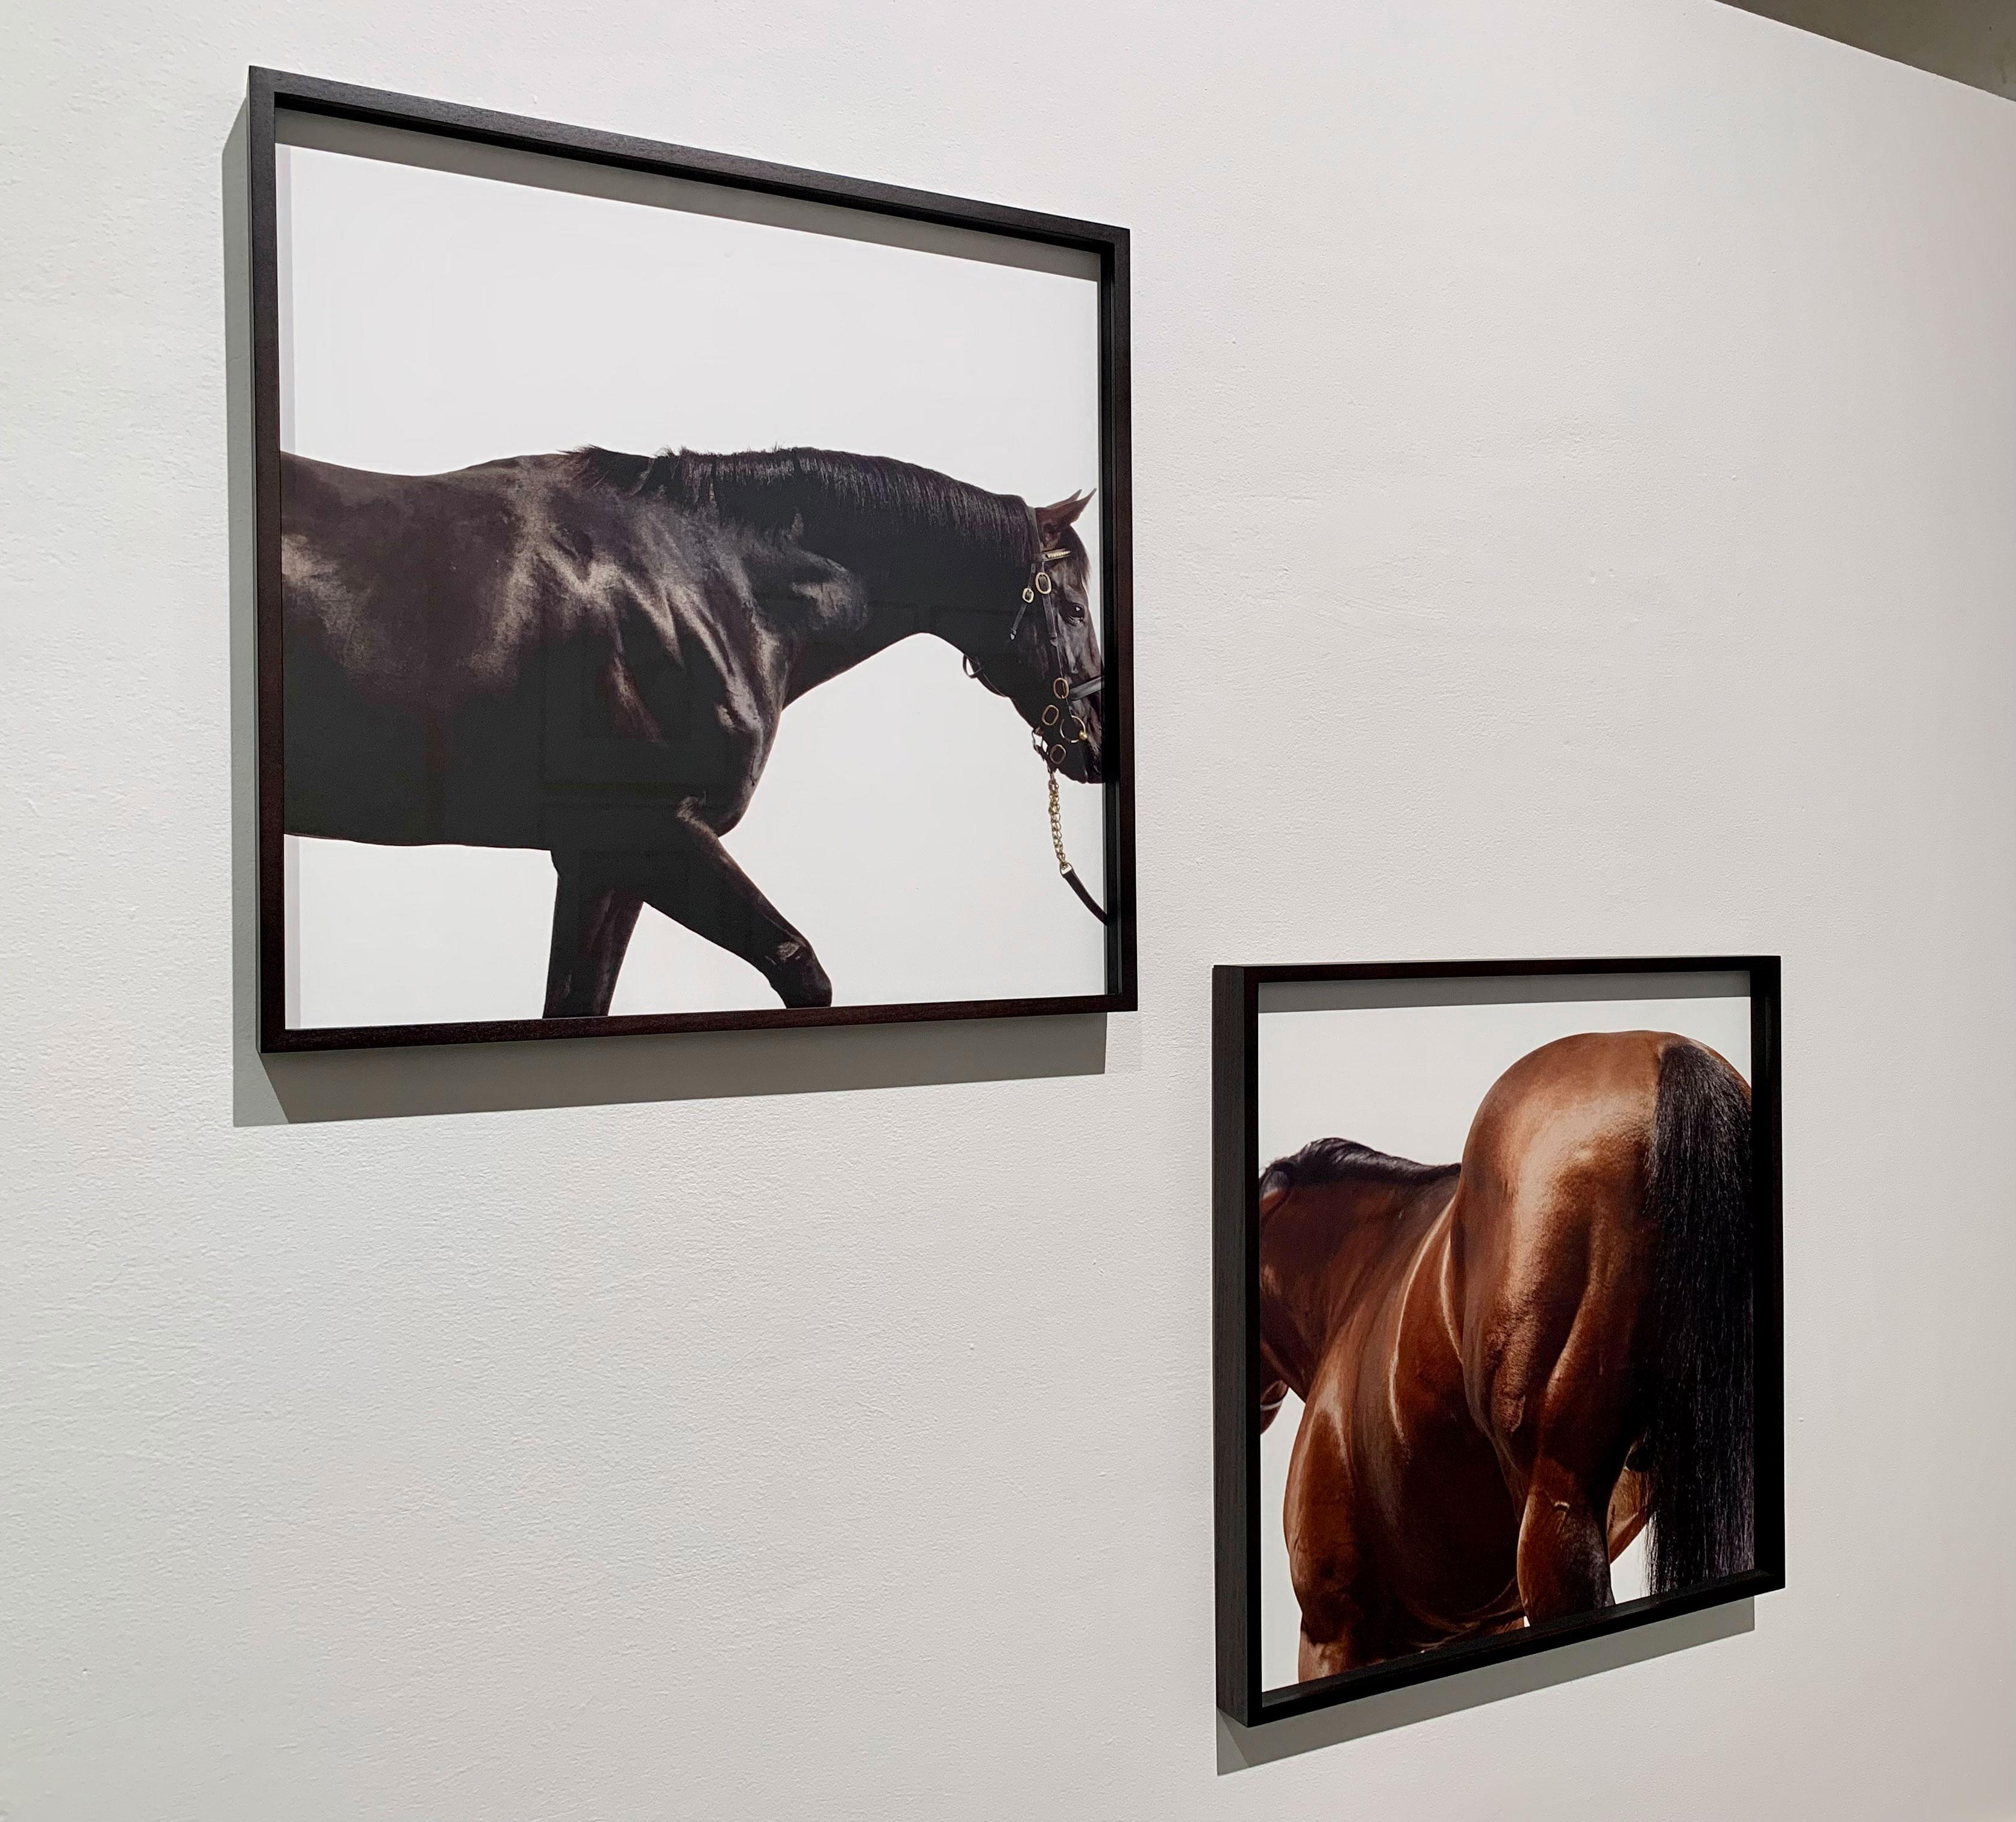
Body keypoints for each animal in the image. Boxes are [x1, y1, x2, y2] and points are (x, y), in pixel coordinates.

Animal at [276, 439, 1104, 1012]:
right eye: (1072, 606)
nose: (1096, 741)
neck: (708, 585)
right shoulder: (657, 831)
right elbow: (799, 966)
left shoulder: (599, 860)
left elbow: (578, 1001)